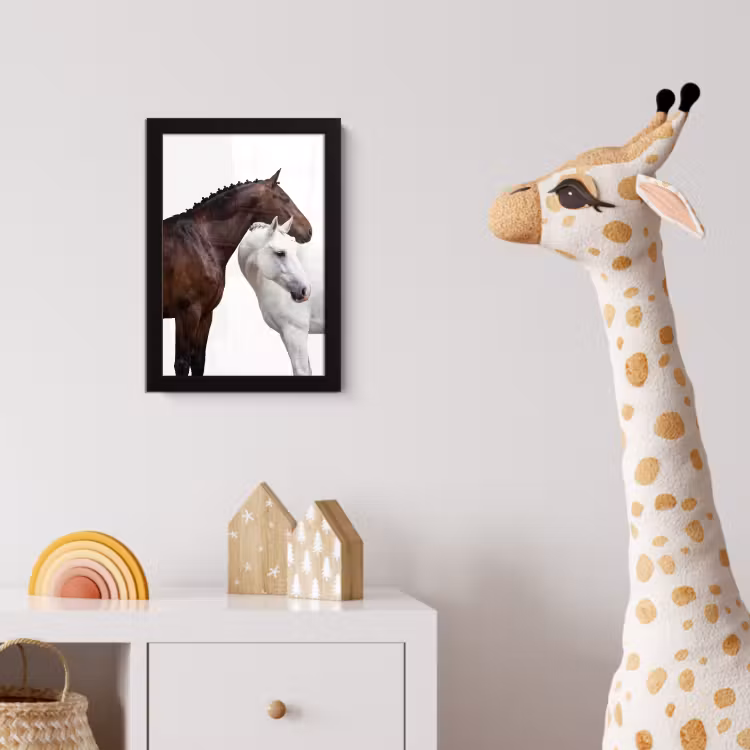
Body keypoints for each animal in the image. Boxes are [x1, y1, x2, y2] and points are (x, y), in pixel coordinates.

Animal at [162, 169, 312, 376]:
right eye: (285, 198)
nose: (309, 230)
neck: (200, 240)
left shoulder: (206, 315)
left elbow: (198, 361)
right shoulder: (186, 314)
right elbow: (182, 364)